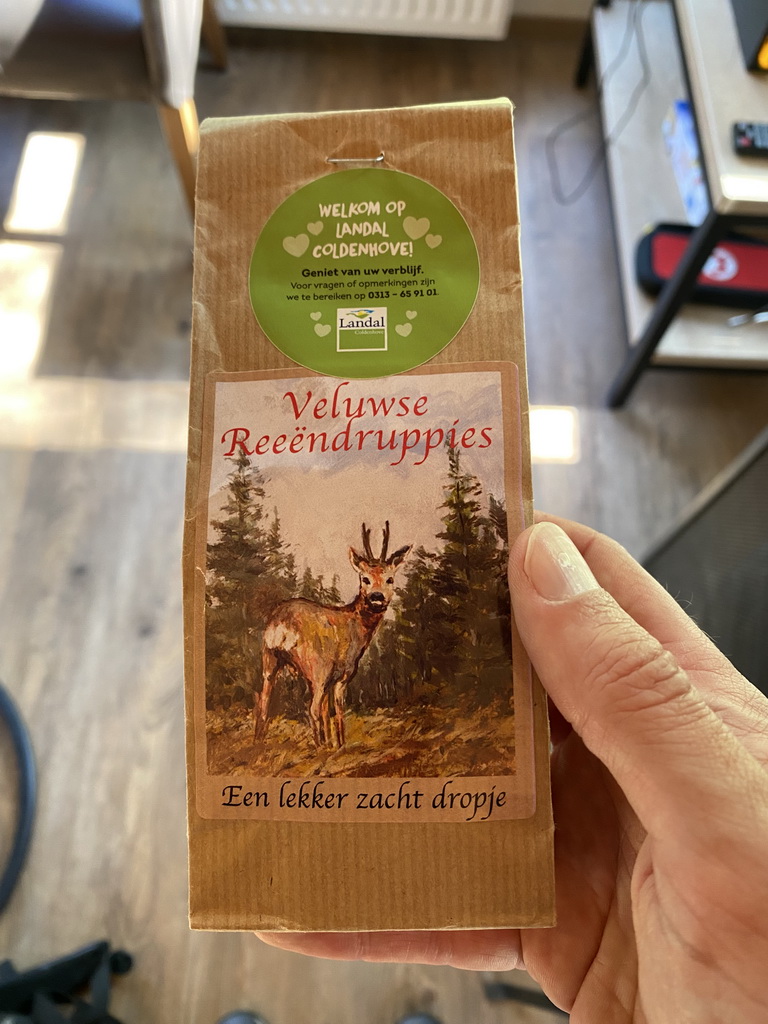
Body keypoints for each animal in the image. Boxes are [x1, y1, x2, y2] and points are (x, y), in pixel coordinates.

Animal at [256, 524, 411, 749]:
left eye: (389, 579)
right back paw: (318, 748)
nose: (376, 596)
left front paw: (331, 743)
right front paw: (340, 745)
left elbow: (325, 713)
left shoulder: (327, 680)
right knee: (310, 708)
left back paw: (258, 743)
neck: (356, 628)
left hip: (270, 660)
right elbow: (338, 712)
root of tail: (280, 626)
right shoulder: (342, 675)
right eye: (365, 578)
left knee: (263, 704)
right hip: (316, 666)